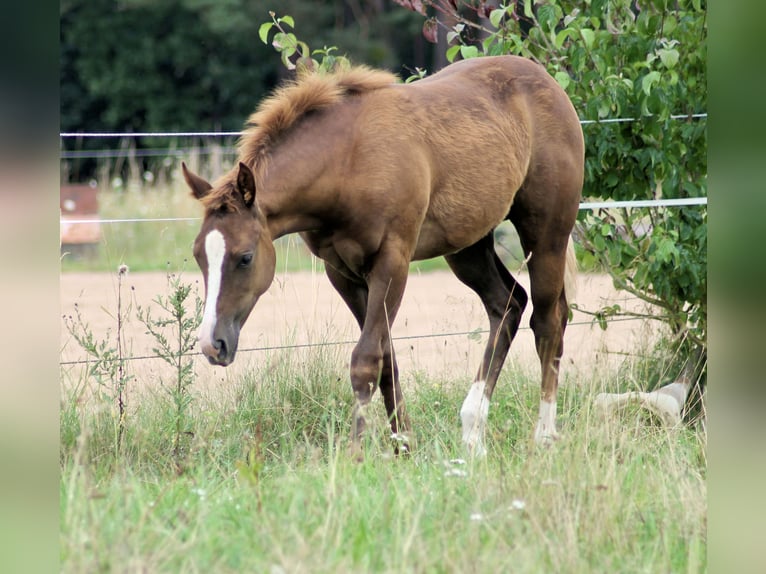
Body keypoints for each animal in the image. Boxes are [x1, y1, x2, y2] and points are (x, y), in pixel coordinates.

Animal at [183, 55, 584, 460]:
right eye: (199, 255)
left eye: (245, 257)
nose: (213, 344)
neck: (347, 161)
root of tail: (548, 82)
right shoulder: (342, 273)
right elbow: (386, 357)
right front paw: (404, 445)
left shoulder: (392, 262)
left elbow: (365, 360)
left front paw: (356, 454)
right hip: (467, 247)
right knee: (508, 305)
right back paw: (473, 433)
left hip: (546, 234)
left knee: (547, 321)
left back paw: (544, 435)